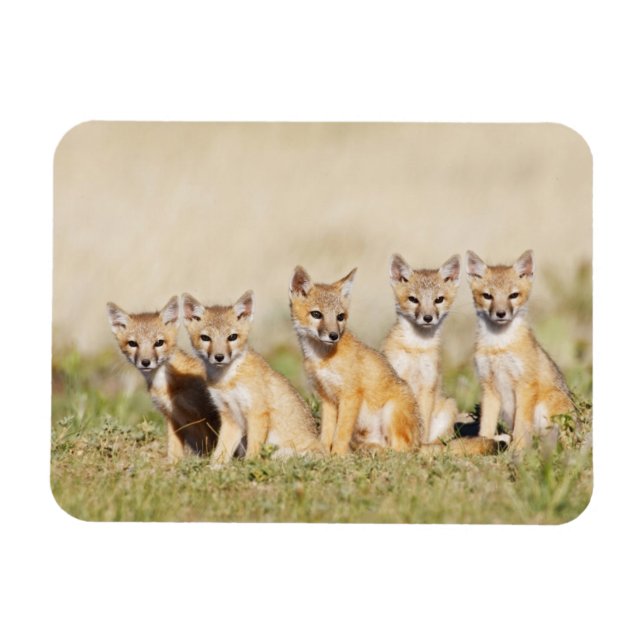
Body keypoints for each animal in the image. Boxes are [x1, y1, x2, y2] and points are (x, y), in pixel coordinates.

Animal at [106, 296, 222, 463]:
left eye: (159, 343)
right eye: (133, 344)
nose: (145, 362)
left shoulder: (203, 416)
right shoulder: (172, 418)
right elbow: (174, 452)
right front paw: (173, 464)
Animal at [181, 290, 322, 466]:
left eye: (232, 337)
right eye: (205, 338)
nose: (219, 357)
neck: (227, 381)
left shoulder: (257, 413)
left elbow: (253, 451)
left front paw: (249, 466)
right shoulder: (230, 417)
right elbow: (220, 453)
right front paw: (214, 468)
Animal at [289, 266, 421, 455]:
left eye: (340, 317)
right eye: (316, 314)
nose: (334, 335)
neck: (322, 358)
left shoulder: (350, 395)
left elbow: (341, 433)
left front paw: (338, 455)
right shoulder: (327, 398)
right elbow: (327, 434)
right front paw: (325, 454)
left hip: (392, 410)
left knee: (400, 450)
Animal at [466, 250, 574, 449]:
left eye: (513, 295)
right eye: (487, 296)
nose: (501, 313)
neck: (499, 345)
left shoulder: (525, 385)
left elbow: (521, 426)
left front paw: (517, 449)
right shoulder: (488, 387)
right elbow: (486, 426)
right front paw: (482, 443)